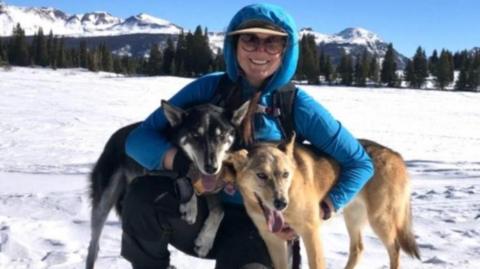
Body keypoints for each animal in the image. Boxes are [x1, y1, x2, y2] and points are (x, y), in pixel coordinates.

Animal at [86, 99, 249, 266]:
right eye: (195, 135)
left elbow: (219, 210)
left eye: (221, 135)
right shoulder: (157, 169)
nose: (211, 167)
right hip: (104, 202)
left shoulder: (212, 187)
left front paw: (205, 241)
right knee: (94, 246)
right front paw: (190, 205)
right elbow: (182, 175)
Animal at [225, 135, 420, 268]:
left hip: (380, 219)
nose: (281, 203)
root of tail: (396, 155)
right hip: (353, 217)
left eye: (286, 174)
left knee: (394, 249)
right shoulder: (273, 239)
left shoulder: (310, 232)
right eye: (261, 175)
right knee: (358, 248)